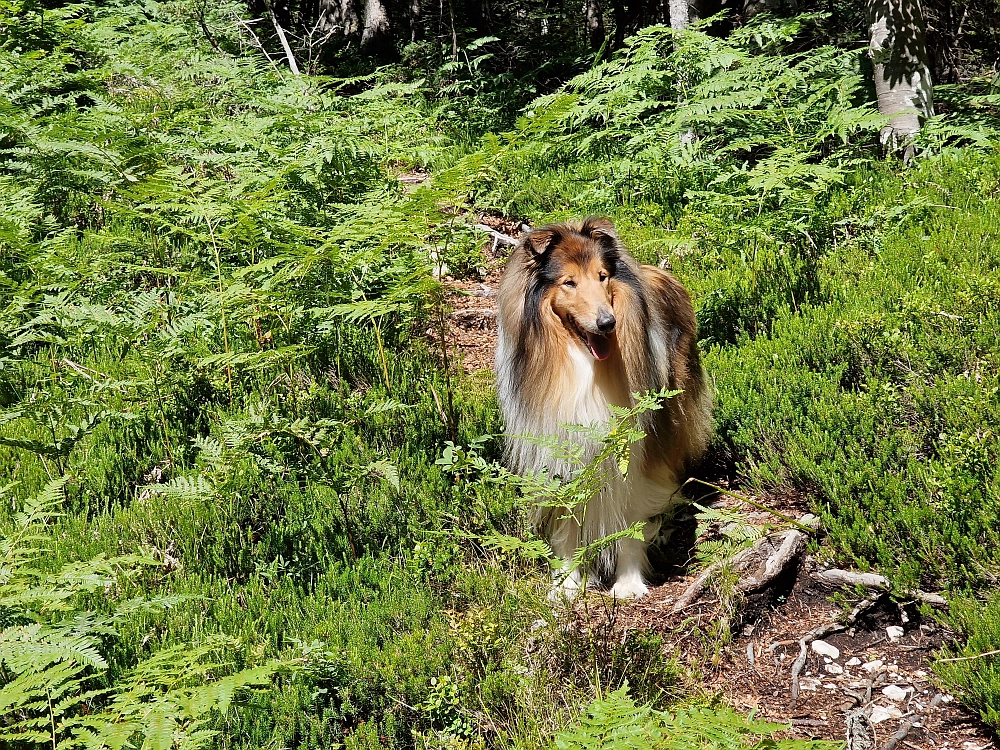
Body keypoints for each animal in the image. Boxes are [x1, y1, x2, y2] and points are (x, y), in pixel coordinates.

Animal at [494, 217, 712, 600]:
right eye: (569, 282)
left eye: (602, 276)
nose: (608, 323)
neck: (584, 365)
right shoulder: (558, 452)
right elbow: (566, 522)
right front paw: (567, 584)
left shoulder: (636, 449)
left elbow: (630, 516)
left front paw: (628, 582)